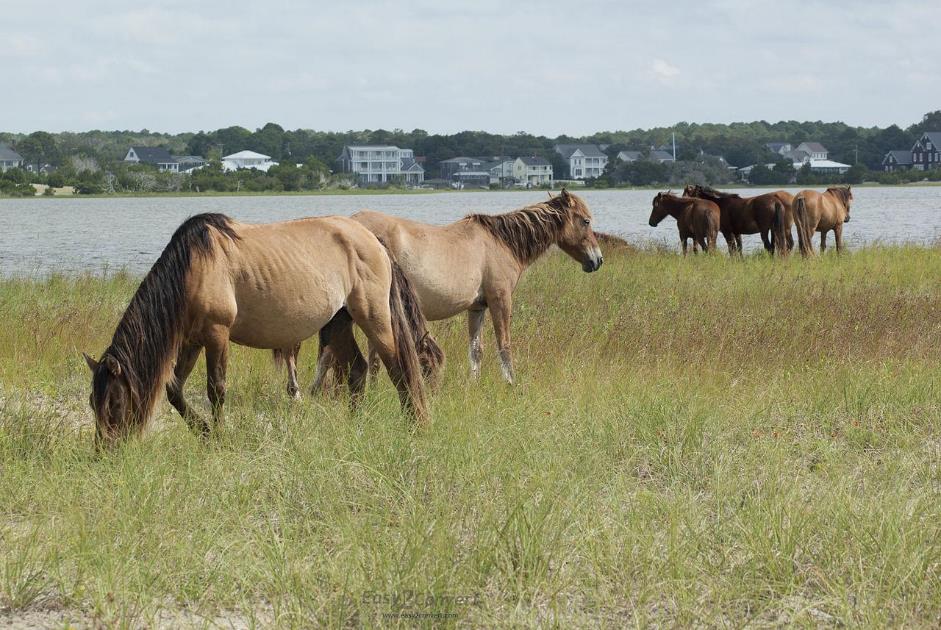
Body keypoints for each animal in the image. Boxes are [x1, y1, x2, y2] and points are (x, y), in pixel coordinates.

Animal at [81, 215, 436, 446]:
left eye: (114, 403)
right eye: (91, 402)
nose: (104, 452)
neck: (194, 268)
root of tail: (373, 240)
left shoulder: (217, 335)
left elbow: (216, 389)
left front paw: (219, 438)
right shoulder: (193, 341)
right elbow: (174, 389)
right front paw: (204, 433)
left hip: (374, 318)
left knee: (400, 371)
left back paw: (415, 426)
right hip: (337, 323)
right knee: (358, 370)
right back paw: (354, 426)